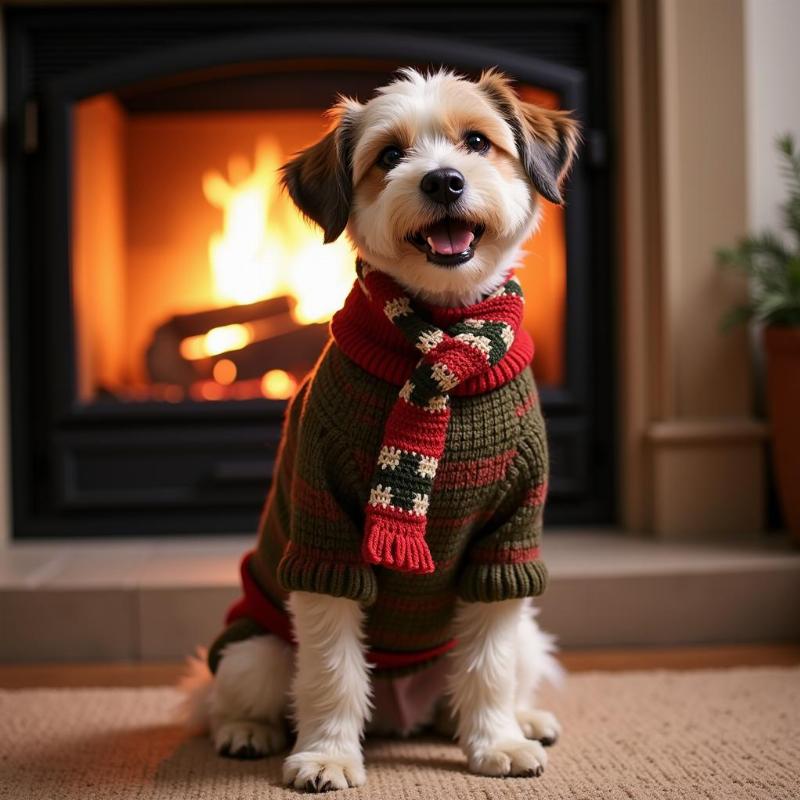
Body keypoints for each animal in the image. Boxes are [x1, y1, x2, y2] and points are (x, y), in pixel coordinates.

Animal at [184, 67, 580, 788]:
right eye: (390, 156)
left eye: (476, 142)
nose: (443, 180)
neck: (442, 332)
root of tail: (401, 714)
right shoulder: (326, 538)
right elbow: (332, 673)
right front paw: (327, 753)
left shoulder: (506, 546)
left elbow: (488, 669)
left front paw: (497, 742)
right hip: (255, 651)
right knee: (226, 697)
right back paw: (246, 731)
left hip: (530, 636)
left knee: (488, 680)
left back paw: (520, 719)